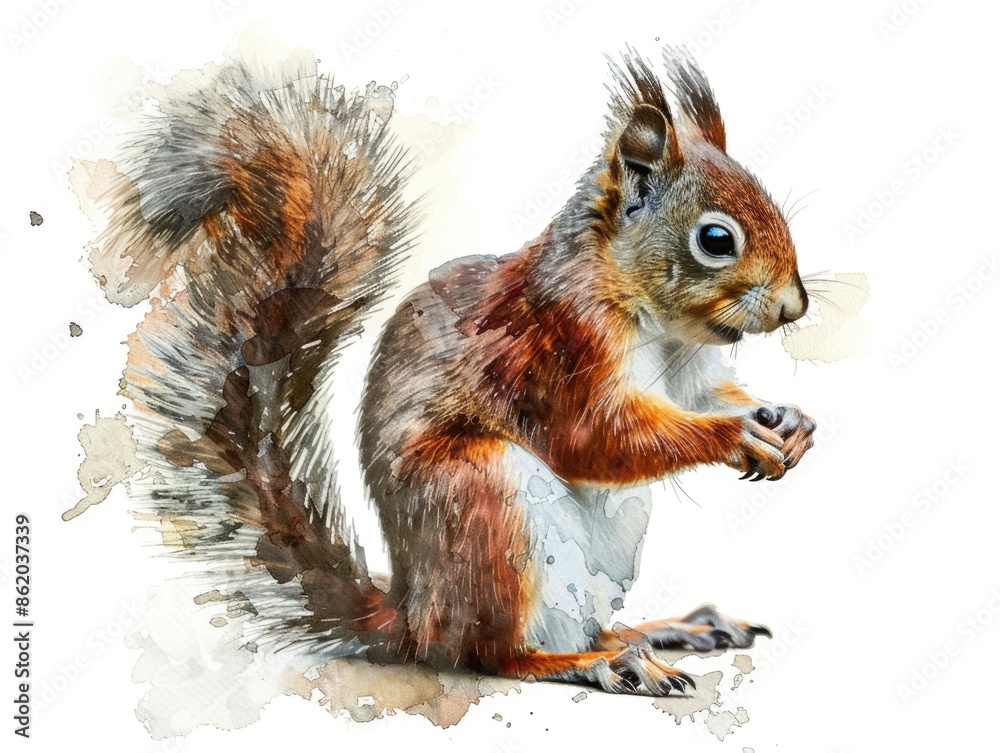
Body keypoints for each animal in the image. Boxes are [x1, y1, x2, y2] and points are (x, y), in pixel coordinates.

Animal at [88, 47, 816, 697]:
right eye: (716, 239)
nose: (795, 306)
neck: (652, 319)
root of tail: (413, 618)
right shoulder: (554, 345)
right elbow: (593, 438)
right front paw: (736, 436)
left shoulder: (689, 373)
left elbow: (709, 396)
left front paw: (787, 421)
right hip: (483, 499)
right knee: (492, 654)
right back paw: (600, 663)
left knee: (572, 627)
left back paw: (661, 631)